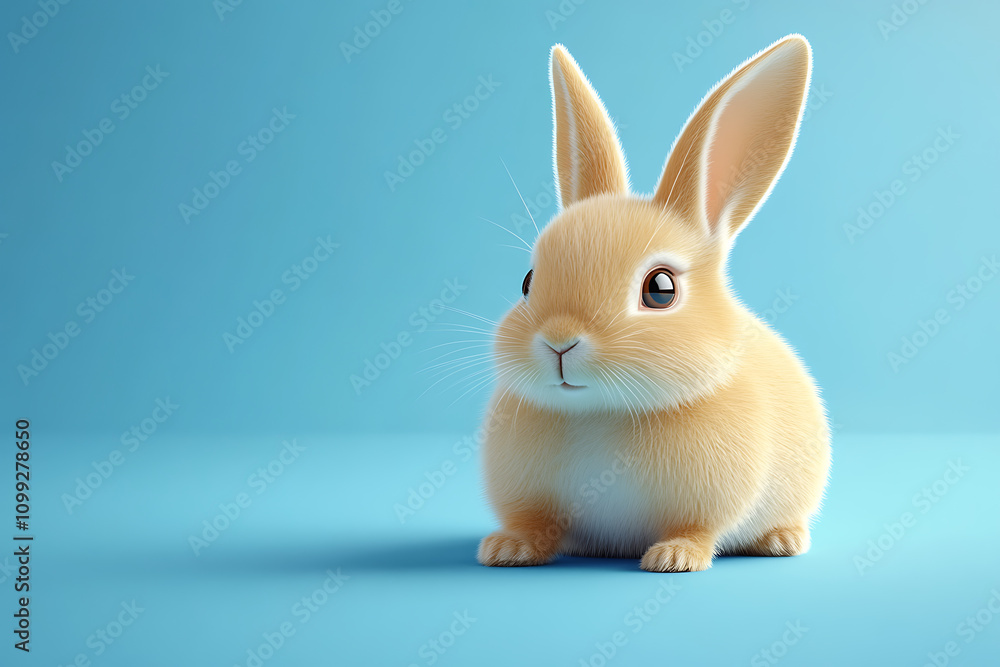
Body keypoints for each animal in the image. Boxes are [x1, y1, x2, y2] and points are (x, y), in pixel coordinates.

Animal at [476, 34, 831, 572]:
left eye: (660, 289)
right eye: (527, 281)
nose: (559, 341)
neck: (602, 411)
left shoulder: (709, 501)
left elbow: (698, 529)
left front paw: (675, 557)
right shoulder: (530, 498)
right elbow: (533, 524)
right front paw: (507, 548)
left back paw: (782, 540)